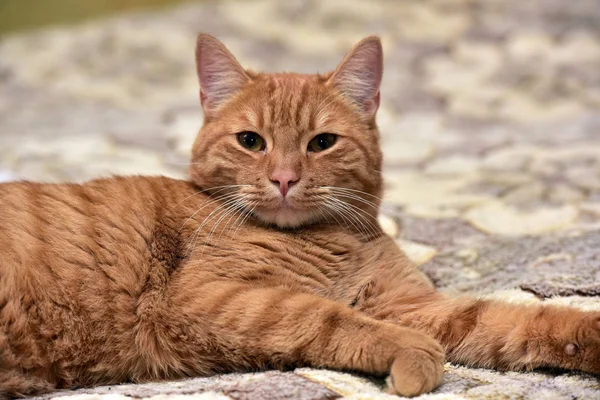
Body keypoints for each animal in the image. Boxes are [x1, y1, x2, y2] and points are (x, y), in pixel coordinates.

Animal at [1, 33, 600, 396]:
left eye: (322, 143)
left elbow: (517, 320)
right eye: (251, 141)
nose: (285, 178)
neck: (327, 243)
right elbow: (325, 315)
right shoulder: (209, 297)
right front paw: (412, 357)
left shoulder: (413, 306)